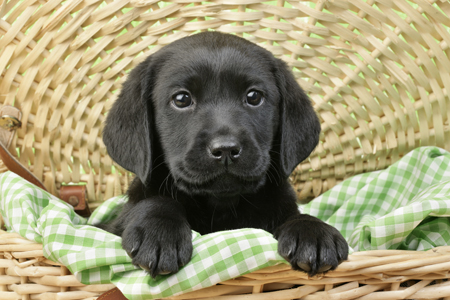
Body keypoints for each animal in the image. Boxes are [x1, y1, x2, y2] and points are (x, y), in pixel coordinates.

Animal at [102, 31, 348, 278]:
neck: (220, 206)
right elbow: (155, 201)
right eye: (182, 99)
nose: (226, 149)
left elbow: (295, 215)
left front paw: (312, 231)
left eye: (253, 96)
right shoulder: (115, 224)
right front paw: (160, 229)